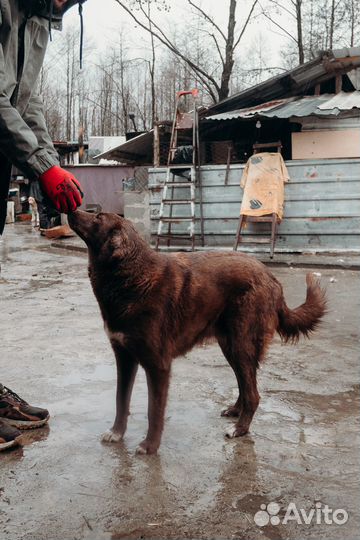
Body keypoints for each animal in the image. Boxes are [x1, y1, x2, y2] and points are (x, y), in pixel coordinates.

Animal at [67, 211, 326, 456]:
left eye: (98, 217)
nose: (71, 210)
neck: (130, 277)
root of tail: (271, 277)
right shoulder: (124, 356)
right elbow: (121, 400)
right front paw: (117, 433)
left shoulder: (158, 364)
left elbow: (153, 411)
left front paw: (150, 446)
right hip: (230, 345)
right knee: (245, 384)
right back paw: (235, 411)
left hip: (241, 344)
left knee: (253, 393)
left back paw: (240, 429)